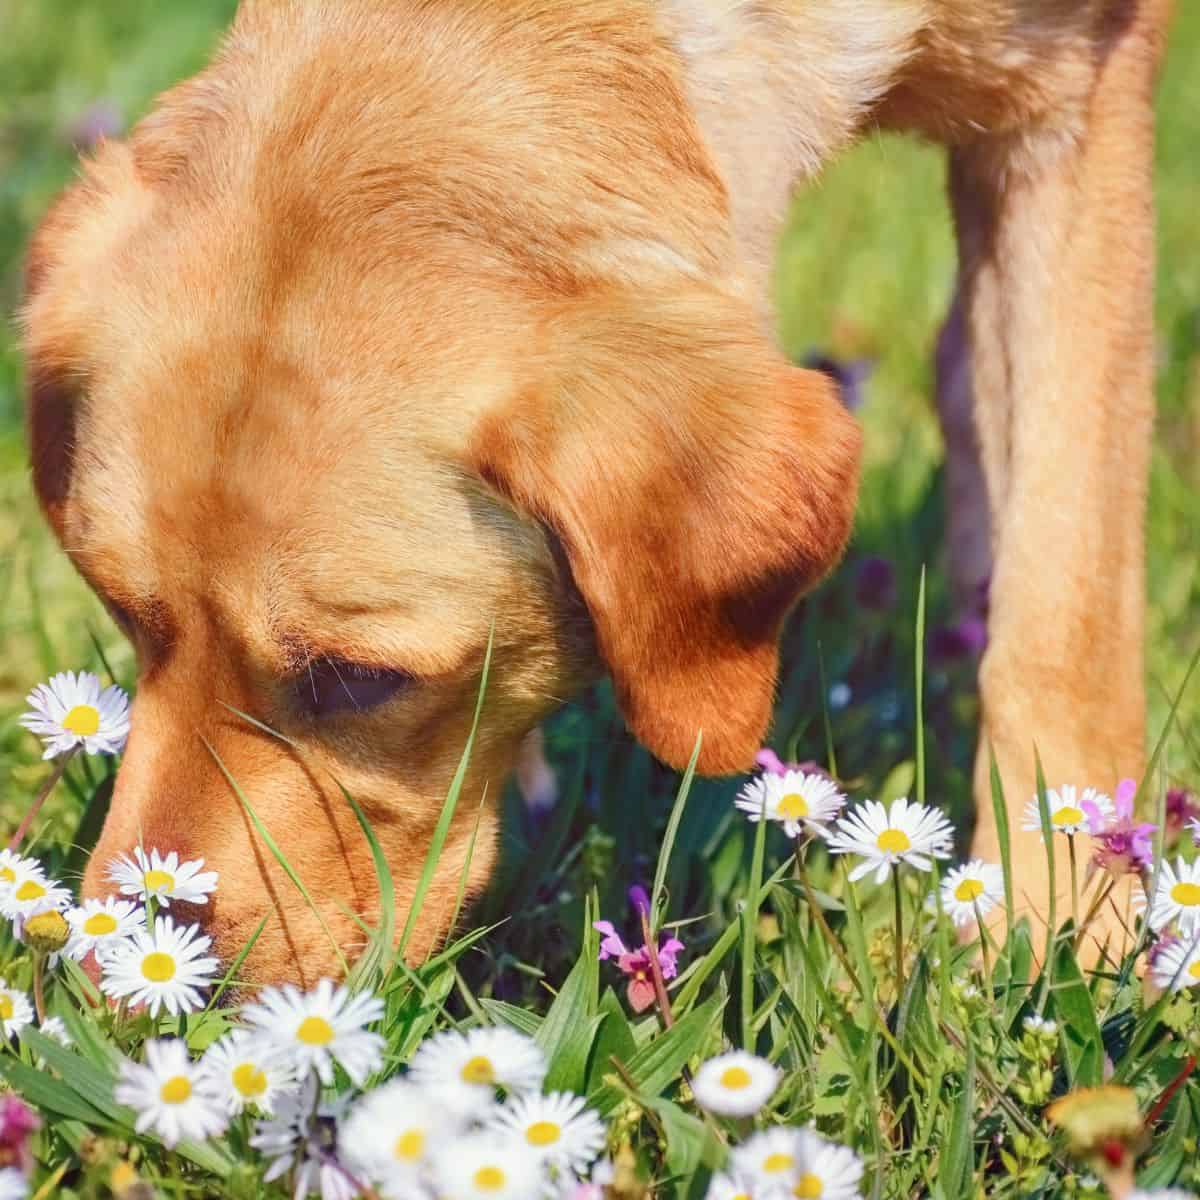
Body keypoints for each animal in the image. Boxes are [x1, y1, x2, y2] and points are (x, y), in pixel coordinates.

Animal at [18, 0, 1166, 979]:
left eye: (356, 680)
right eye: (122, 612)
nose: (117, 983)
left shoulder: (1076, 92)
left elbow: (1064, 614)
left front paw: (1061, 928)